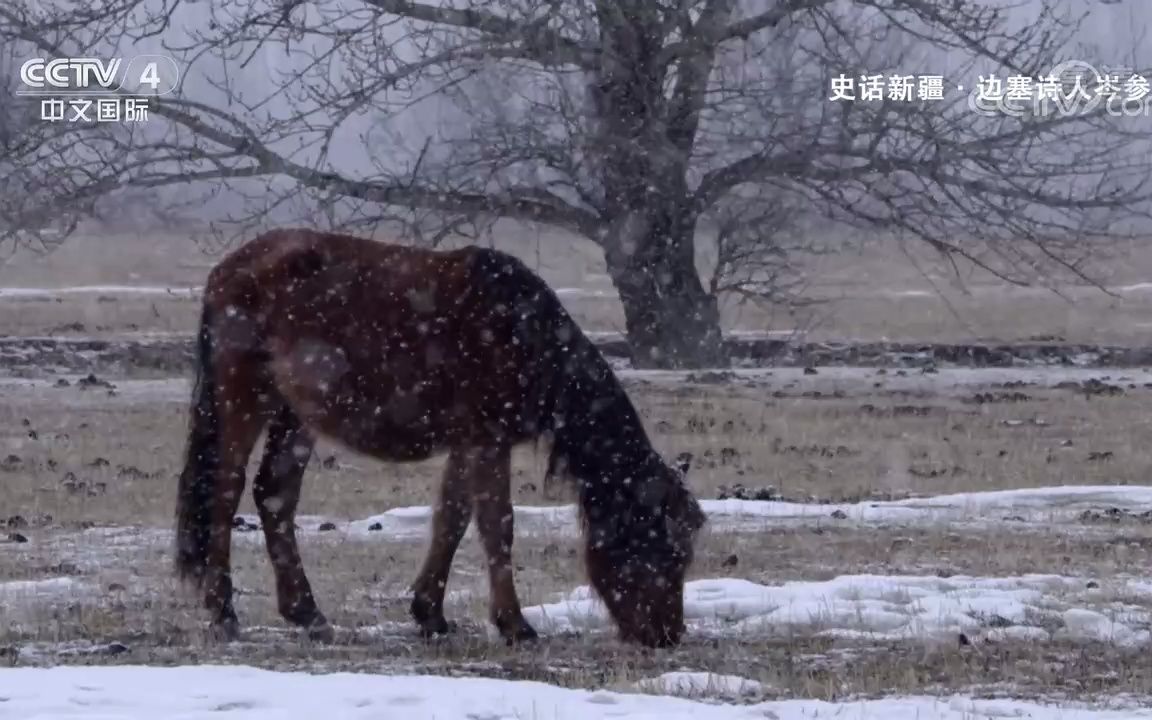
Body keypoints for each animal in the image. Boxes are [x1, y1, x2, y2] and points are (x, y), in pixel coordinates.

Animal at [173, 226, 705, 649]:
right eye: (662, 545)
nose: (667, 635)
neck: (521, 330)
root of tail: (226, 272)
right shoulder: (488, 441)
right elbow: (497, 525)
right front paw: (514, 625)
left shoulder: (469, 443)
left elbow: (452, 517)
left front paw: (430, 614)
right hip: (244, 398)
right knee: (225, 491)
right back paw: (223, 611)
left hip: (296, 415)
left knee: (275, 494)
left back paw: (307, 613)